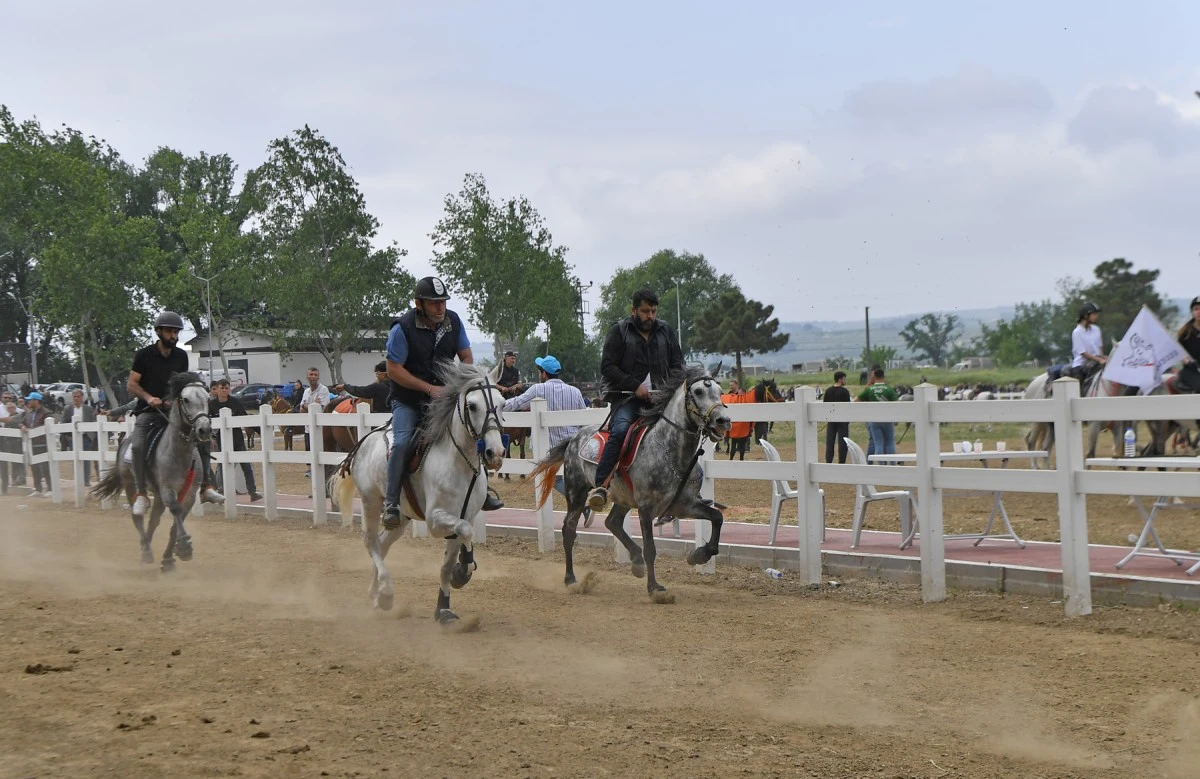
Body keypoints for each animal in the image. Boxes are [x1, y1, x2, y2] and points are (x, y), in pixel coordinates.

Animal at [331, 362, 508, 624]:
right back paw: (385, 593)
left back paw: (375, 593)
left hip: (401, 517)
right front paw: (462, 572)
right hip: (371, 502)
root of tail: (364, 441)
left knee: (382, 544)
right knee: (371, 542)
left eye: (503, 403)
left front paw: (444, 608)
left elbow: (448, 562)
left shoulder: (465, 515)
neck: (460, 463)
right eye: (472, 405)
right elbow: (465, 531)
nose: (495, 453)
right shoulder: (436, 519)